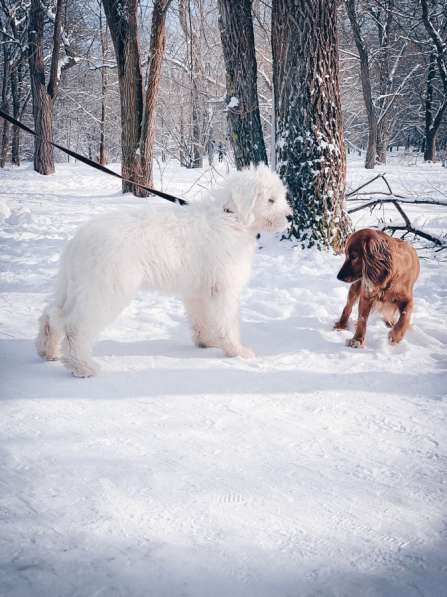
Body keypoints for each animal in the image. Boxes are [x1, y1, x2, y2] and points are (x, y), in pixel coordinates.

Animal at [36, 165, 292, 374]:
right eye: (271, 200)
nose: (290, 217)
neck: (232, 218)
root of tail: (78, 241)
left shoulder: (198, 290)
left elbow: (202, 318)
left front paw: (207, 342)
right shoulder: (223, 287)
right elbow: (227, 321)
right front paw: (237, 350)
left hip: (74, 285)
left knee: (52, 315)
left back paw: (48, 351)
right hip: (106, 290)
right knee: (75, 326)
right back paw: (82, 366)